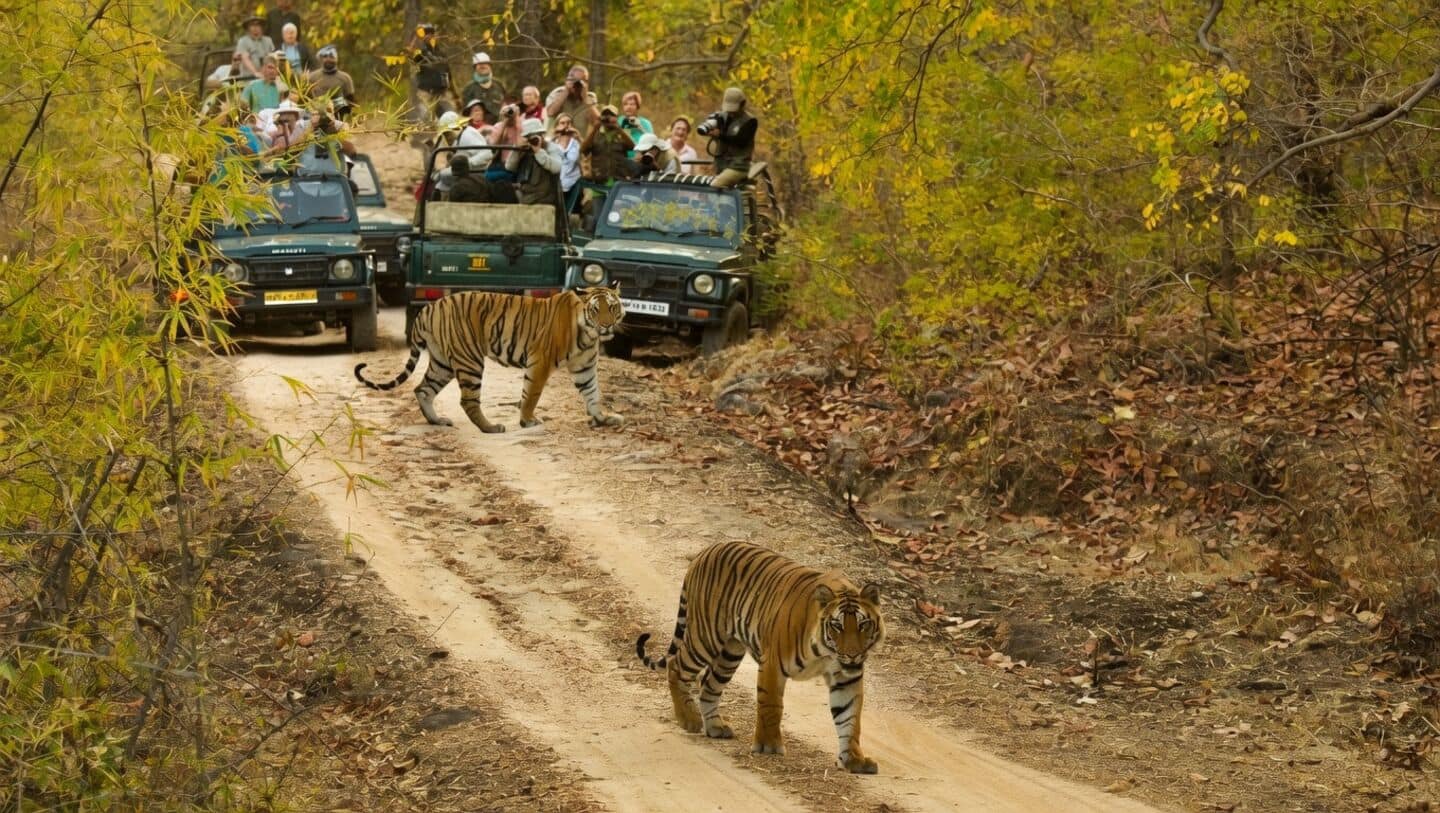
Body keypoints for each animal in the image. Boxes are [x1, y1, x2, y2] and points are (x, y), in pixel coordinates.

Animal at [353, 286, 625, 433]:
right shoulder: (540, 361)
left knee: (423, 389)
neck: (589, 334)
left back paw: (437, 420)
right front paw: (527, 421)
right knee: (468, 401)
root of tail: (428, 308)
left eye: (612, 308)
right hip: (470, 360)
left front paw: (603, 418)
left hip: (442, 362)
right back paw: (491, 428)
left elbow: (593, 393)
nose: (606, 325)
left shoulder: (585, 367)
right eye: (596, 310)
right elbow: (532, 394)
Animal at [636, 540, 885, 774]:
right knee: (677, 667)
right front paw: (769, 747)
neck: (826, 653)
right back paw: (689, 719)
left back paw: (715, 727)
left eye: (863, 624)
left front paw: (854, 760)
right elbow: (771, 705)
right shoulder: (773, 664)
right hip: (705, 637)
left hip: (730, 652)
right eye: (837, 626)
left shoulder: (846, 679)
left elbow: (850, 719)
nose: (853, 655)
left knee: (708, 684)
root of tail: (706, 550)